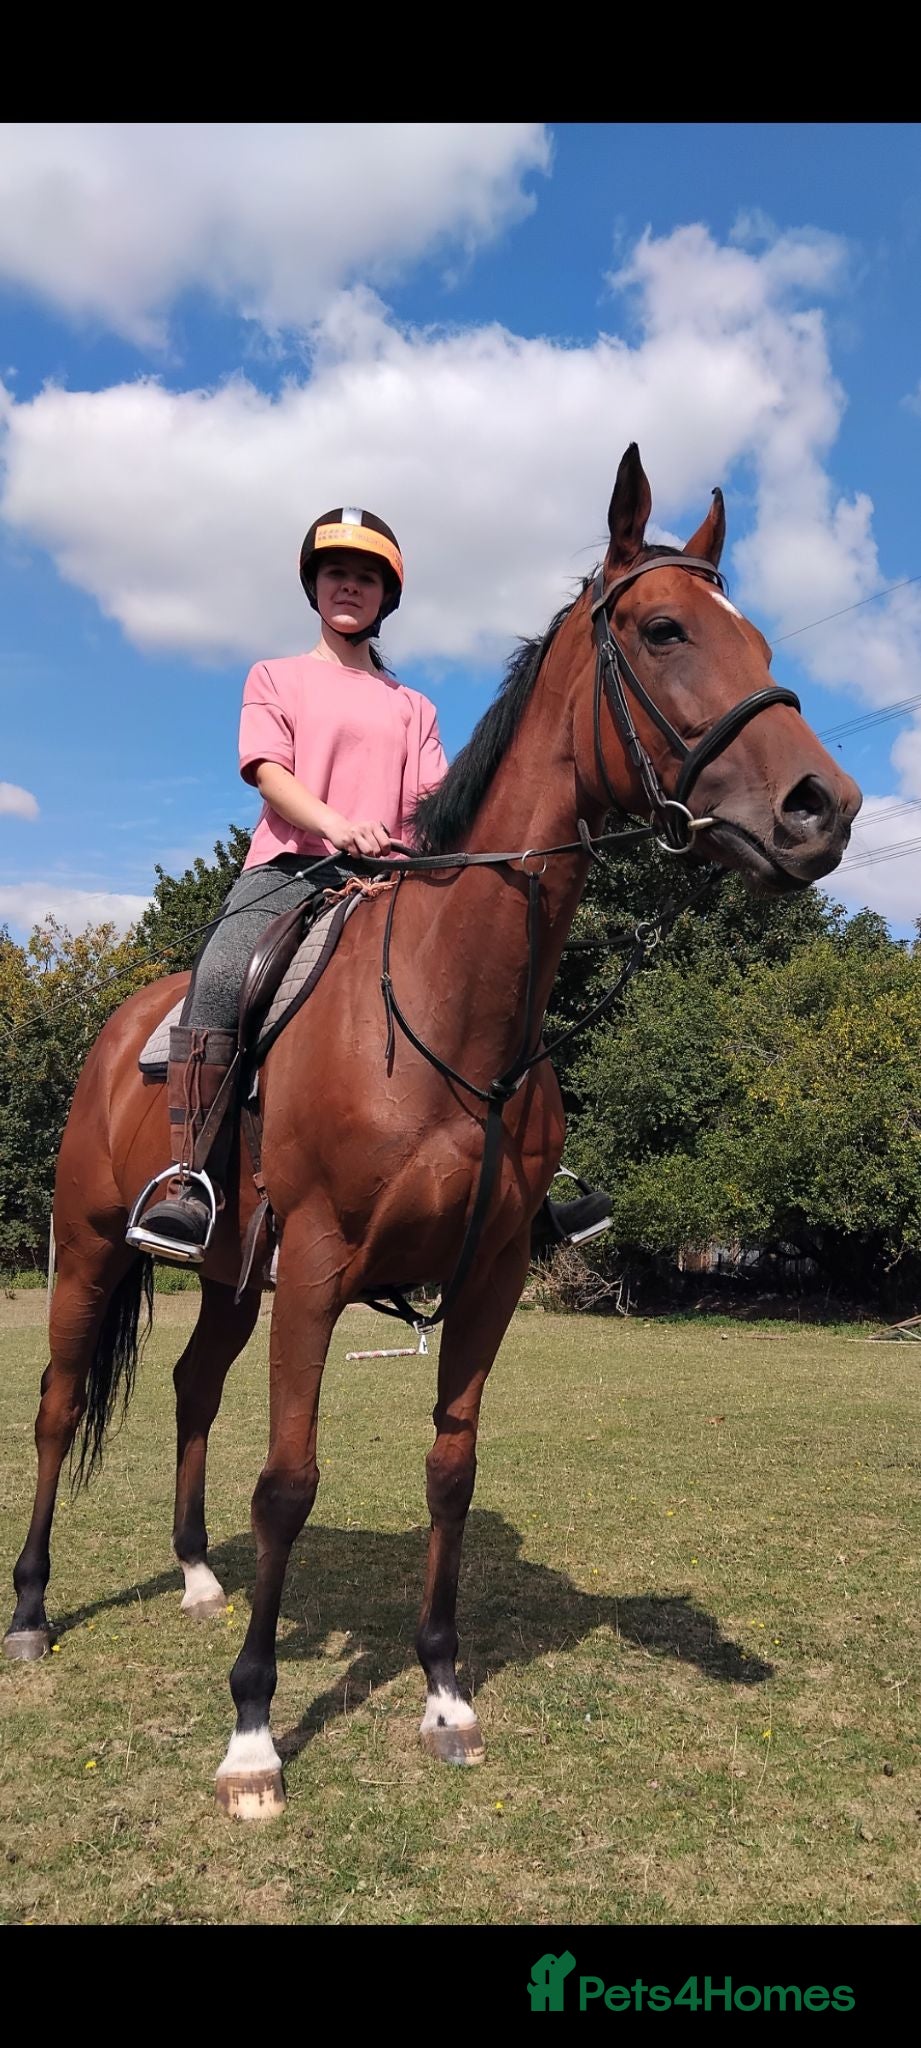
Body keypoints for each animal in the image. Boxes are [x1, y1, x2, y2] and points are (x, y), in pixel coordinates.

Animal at [4, 444, 861, 1820]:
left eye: (760, 637)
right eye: (665, 630)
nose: (820, 808)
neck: (451, 1007)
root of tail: (122, 1017)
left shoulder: (489, 1274)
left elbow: (451, 1467)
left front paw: (446, 1690)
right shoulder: (320, 1267)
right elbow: (288, 1482)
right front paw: (253, 1733)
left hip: (232, 1275)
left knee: (191, 1387)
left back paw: (194, 1575)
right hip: (90, 1249)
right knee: (56, 1402)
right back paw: (32, 1611)